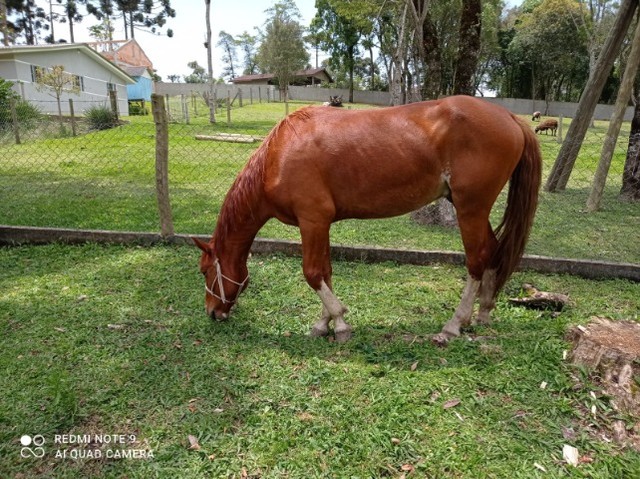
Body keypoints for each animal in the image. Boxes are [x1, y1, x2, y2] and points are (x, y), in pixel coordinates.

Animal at [194, 95, 540, 344]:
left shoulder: (312, 220)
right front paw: (324, 323)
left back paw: (454, 325)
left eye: (204, 271)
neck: (278, 156)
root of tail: (510, 117)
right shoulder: (321, 224)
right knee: (494, 251)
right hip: (473, 210)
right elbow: (326, 272)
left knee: (477, 259)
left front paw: (340, 323)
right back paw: (483, 313)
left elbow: (312, 273)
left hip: (470, 209)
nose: (211, 312)